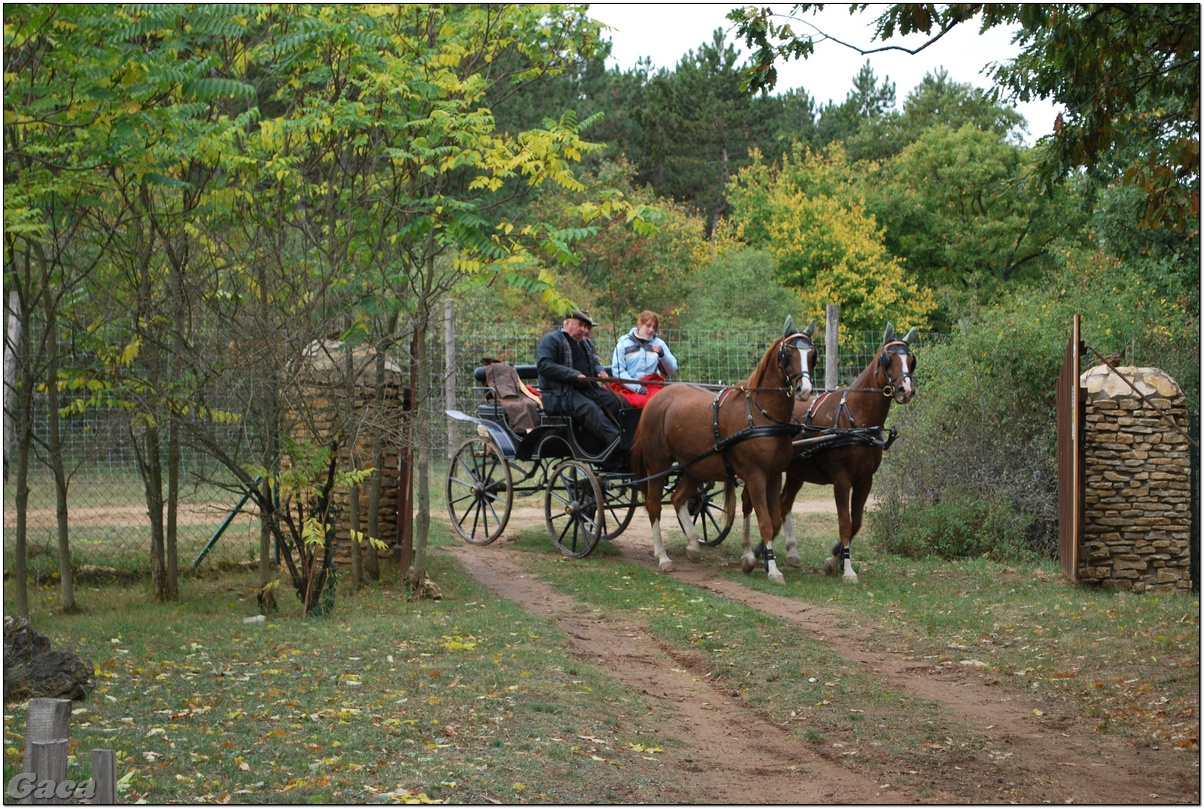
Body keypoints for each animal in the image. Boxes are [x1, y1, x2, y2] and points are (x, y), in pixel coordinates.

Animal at [630, 315, 818, 582]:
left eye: (812, 354)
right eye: (788, 353)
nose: (805, 390)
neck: (761, 415)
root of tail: (658, 398)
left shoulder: (774, 476)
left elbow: (774, 521)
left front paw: (751, 560)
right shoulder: (756, 476)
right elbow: (765, 522)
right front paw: (771, 569)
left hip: (695, 467)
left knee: (678, 498)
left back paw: (693, 545)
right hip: (657, 464)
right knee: (654, 505)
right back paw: (663, 557)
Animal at [736, 322, 915, 582]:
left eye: (910, 359)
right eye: (887, 358)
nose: (906, 390)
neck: (856, 417)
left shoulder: (865, 480)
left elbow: (856, 522)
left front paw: (834, 559)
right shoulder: (841, 480)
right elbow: (845, 523)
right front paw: (847, 568)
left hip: (795, 473)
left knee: (783, 505)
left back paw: (787, 552)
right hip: (759, 472)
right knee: (749, 503)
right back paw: (750, 553)